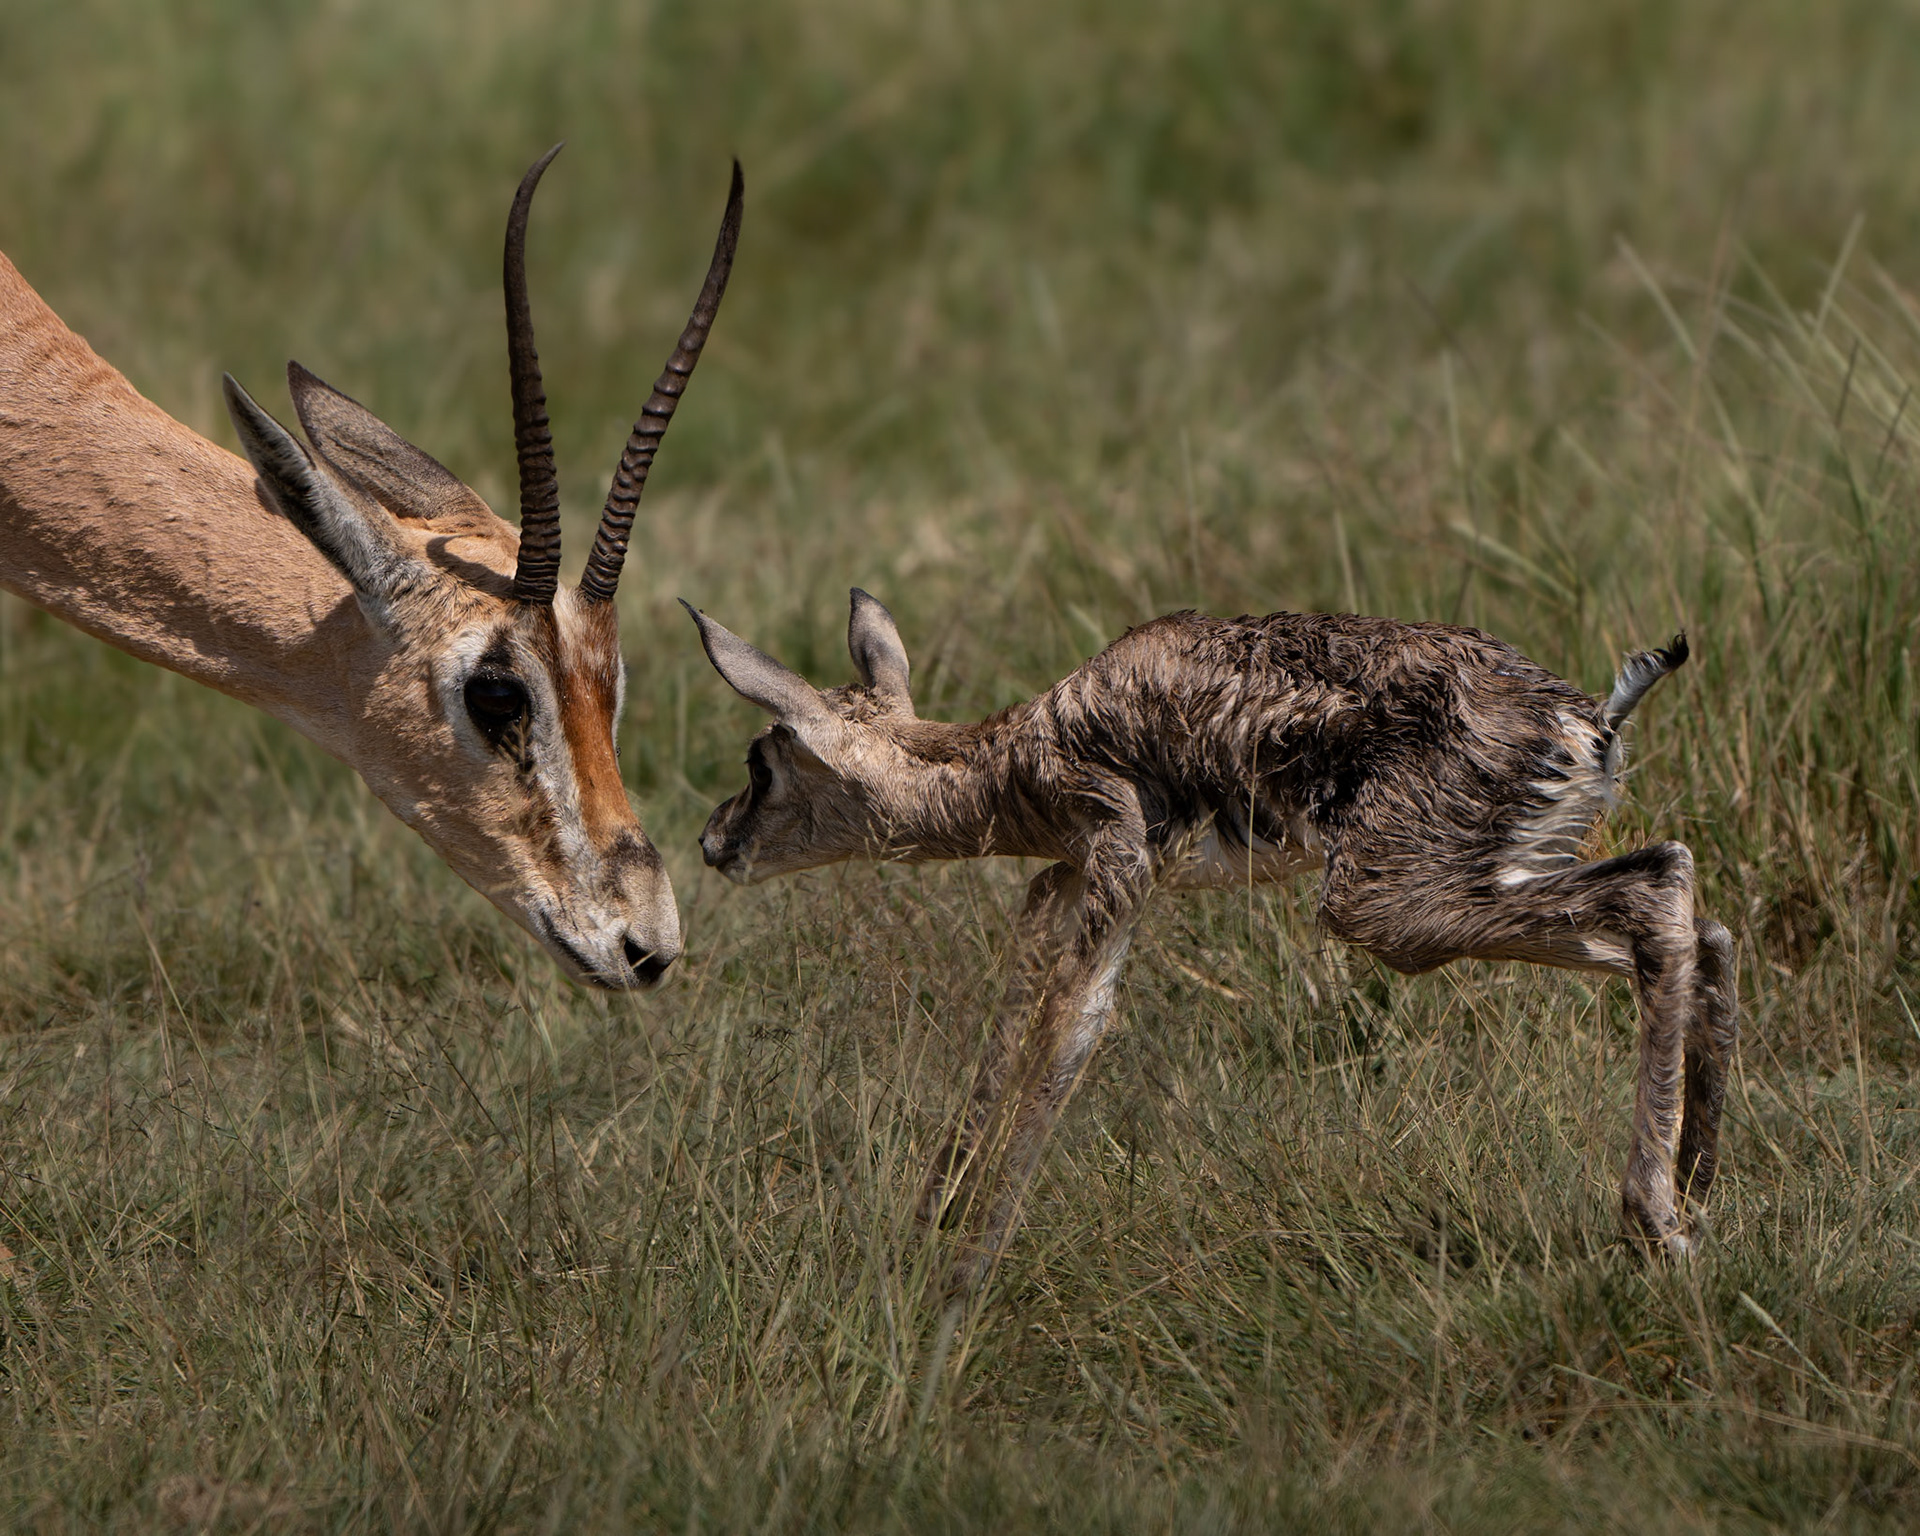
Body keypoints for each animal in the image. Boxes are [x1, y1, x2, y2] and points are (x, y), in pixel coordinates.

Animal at [684, 590, 1739, 1280]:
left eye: (763, 759)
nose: (712, 839)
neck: (1023, 751)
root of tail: (1590, 716)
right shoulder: (1065, 882)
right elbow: (1017, 1013)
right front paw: (931, 1224)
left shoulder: (1116, 863)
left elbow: (1070, 1030)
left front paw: (965, 1274)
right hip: (1493, 876)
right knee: (1693, 916)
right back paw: (1696, 1190)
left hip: (1388, 908)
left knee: (1660, 896)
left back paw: (1657, 1223)